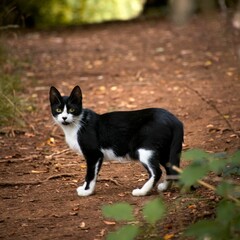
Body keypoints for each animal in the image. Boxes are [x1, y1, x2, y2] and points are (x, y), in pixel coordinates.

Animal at [49, 86, 184, 197]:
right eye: (58, 110)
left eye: (71, 110)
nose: (64, 118)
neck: (75, 125)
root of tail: (174, 119)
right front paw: (84, 188)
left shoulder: (94, 154)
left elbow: (90, 174)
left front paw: (87, 191)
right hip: (164, 150)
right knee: (171, 168)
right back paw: (164, 187)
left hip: (146, 148)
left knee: (157, 171)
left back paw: (142, 192)